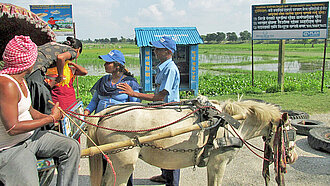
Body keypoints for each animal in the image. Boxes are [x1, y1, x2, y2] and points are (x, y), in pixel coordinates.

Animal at [86, 96, 298, 185]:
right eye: (291, 132)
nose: (293, 157)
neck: (232, 122)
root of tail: (106, 112)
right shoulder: (218, 163)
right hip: (123, 164)